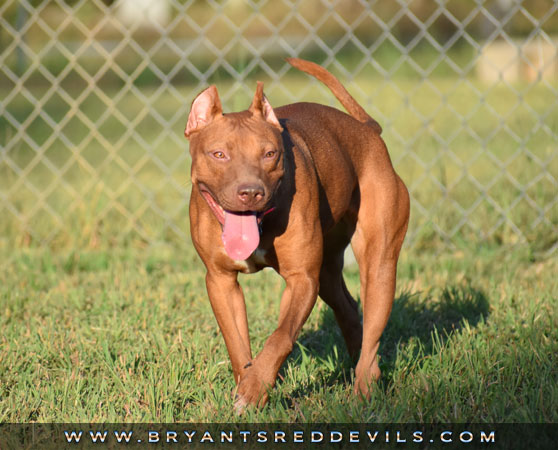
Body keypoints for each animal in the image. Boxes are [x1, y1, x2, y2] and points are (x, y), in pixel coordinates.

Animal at [186, 58, 410, 414]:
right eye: (219, 154)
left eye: (269, 154)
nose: (251, 192)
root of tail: (368, 131)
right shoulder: (221, 281)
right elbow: (237, 344)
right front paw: (248, 385)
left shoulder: (302, 279)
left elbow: (280, 337)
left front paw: (253, 390)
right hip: (328, 273)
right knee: (349, 310)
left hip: (379, 267)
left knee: (373, 328)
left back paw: (362, 391)